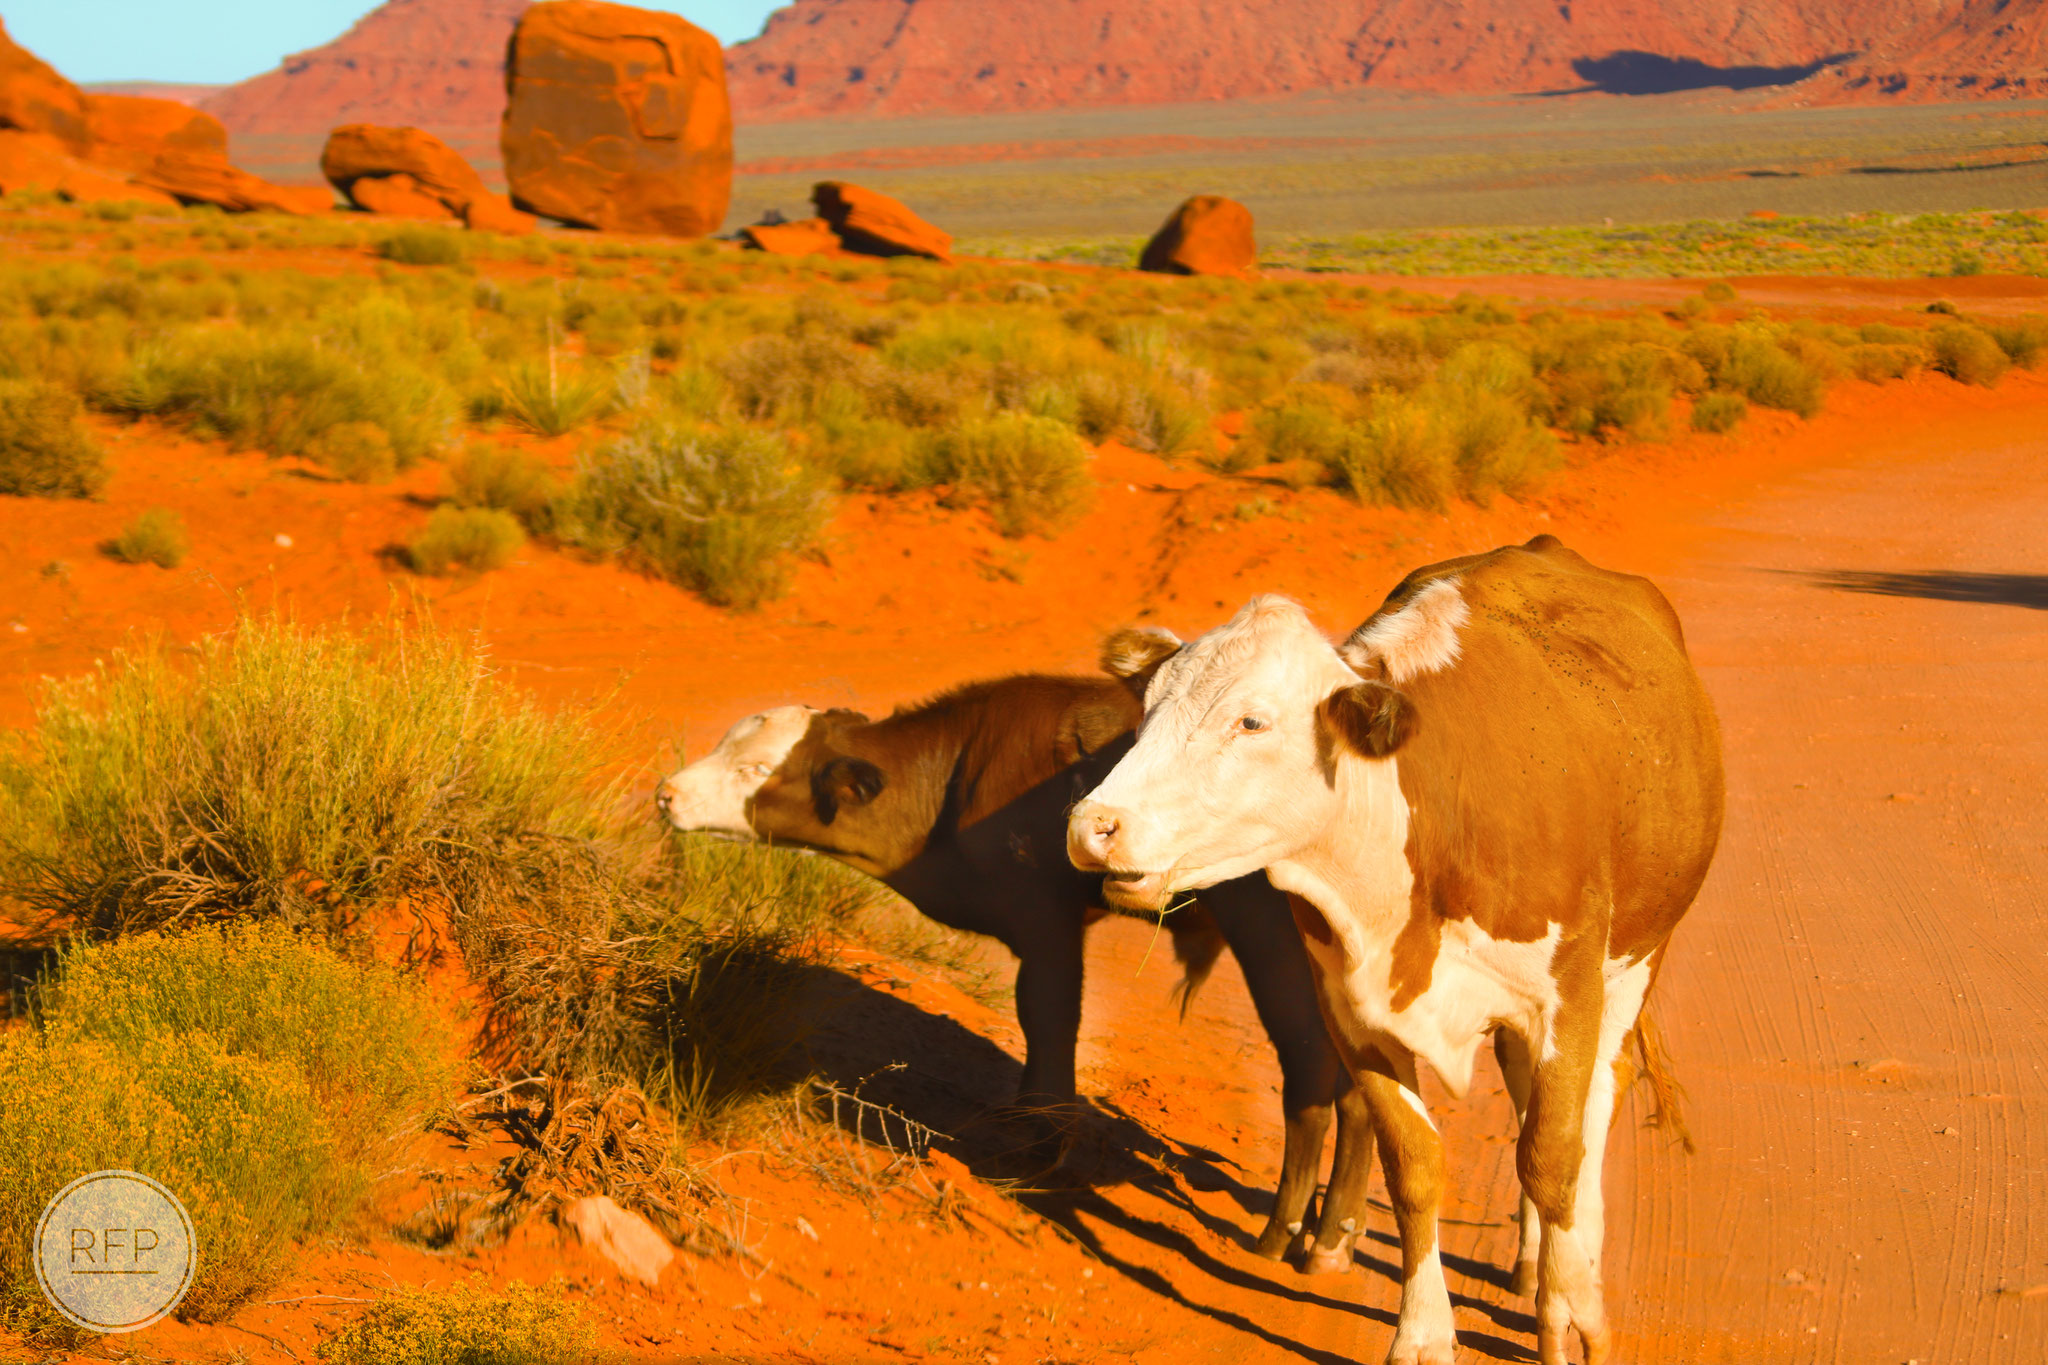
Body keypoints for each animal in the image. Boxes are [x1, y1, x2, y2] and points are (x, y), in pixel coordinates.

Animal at [659, 679, 1376, 1268]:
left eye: (756, 770)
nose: (666, 793)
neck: (955, 785)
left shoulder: (1045, 923)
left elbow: (1049, 1018)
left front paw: (1044, 1137)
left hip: (1274, 943)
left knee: (1313, 1074)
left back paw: (1282, 1235)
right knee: (1360, 1088)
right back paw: (1331, 1238)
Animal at [1073, 540, 1728, 1365]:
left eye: (1252, 720)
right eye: (1150, 708)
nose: (1094, 824)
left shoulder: (1566, 993)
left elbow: (1554, 1155)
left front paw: (1570, 1312)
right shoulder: (1355, 1011)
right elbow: (1415, 1165)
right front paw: (1422, 1331)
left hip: (1636, 964)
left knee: (1592, 1114)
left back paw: (1575, 1259)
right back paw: (1529, 1258)